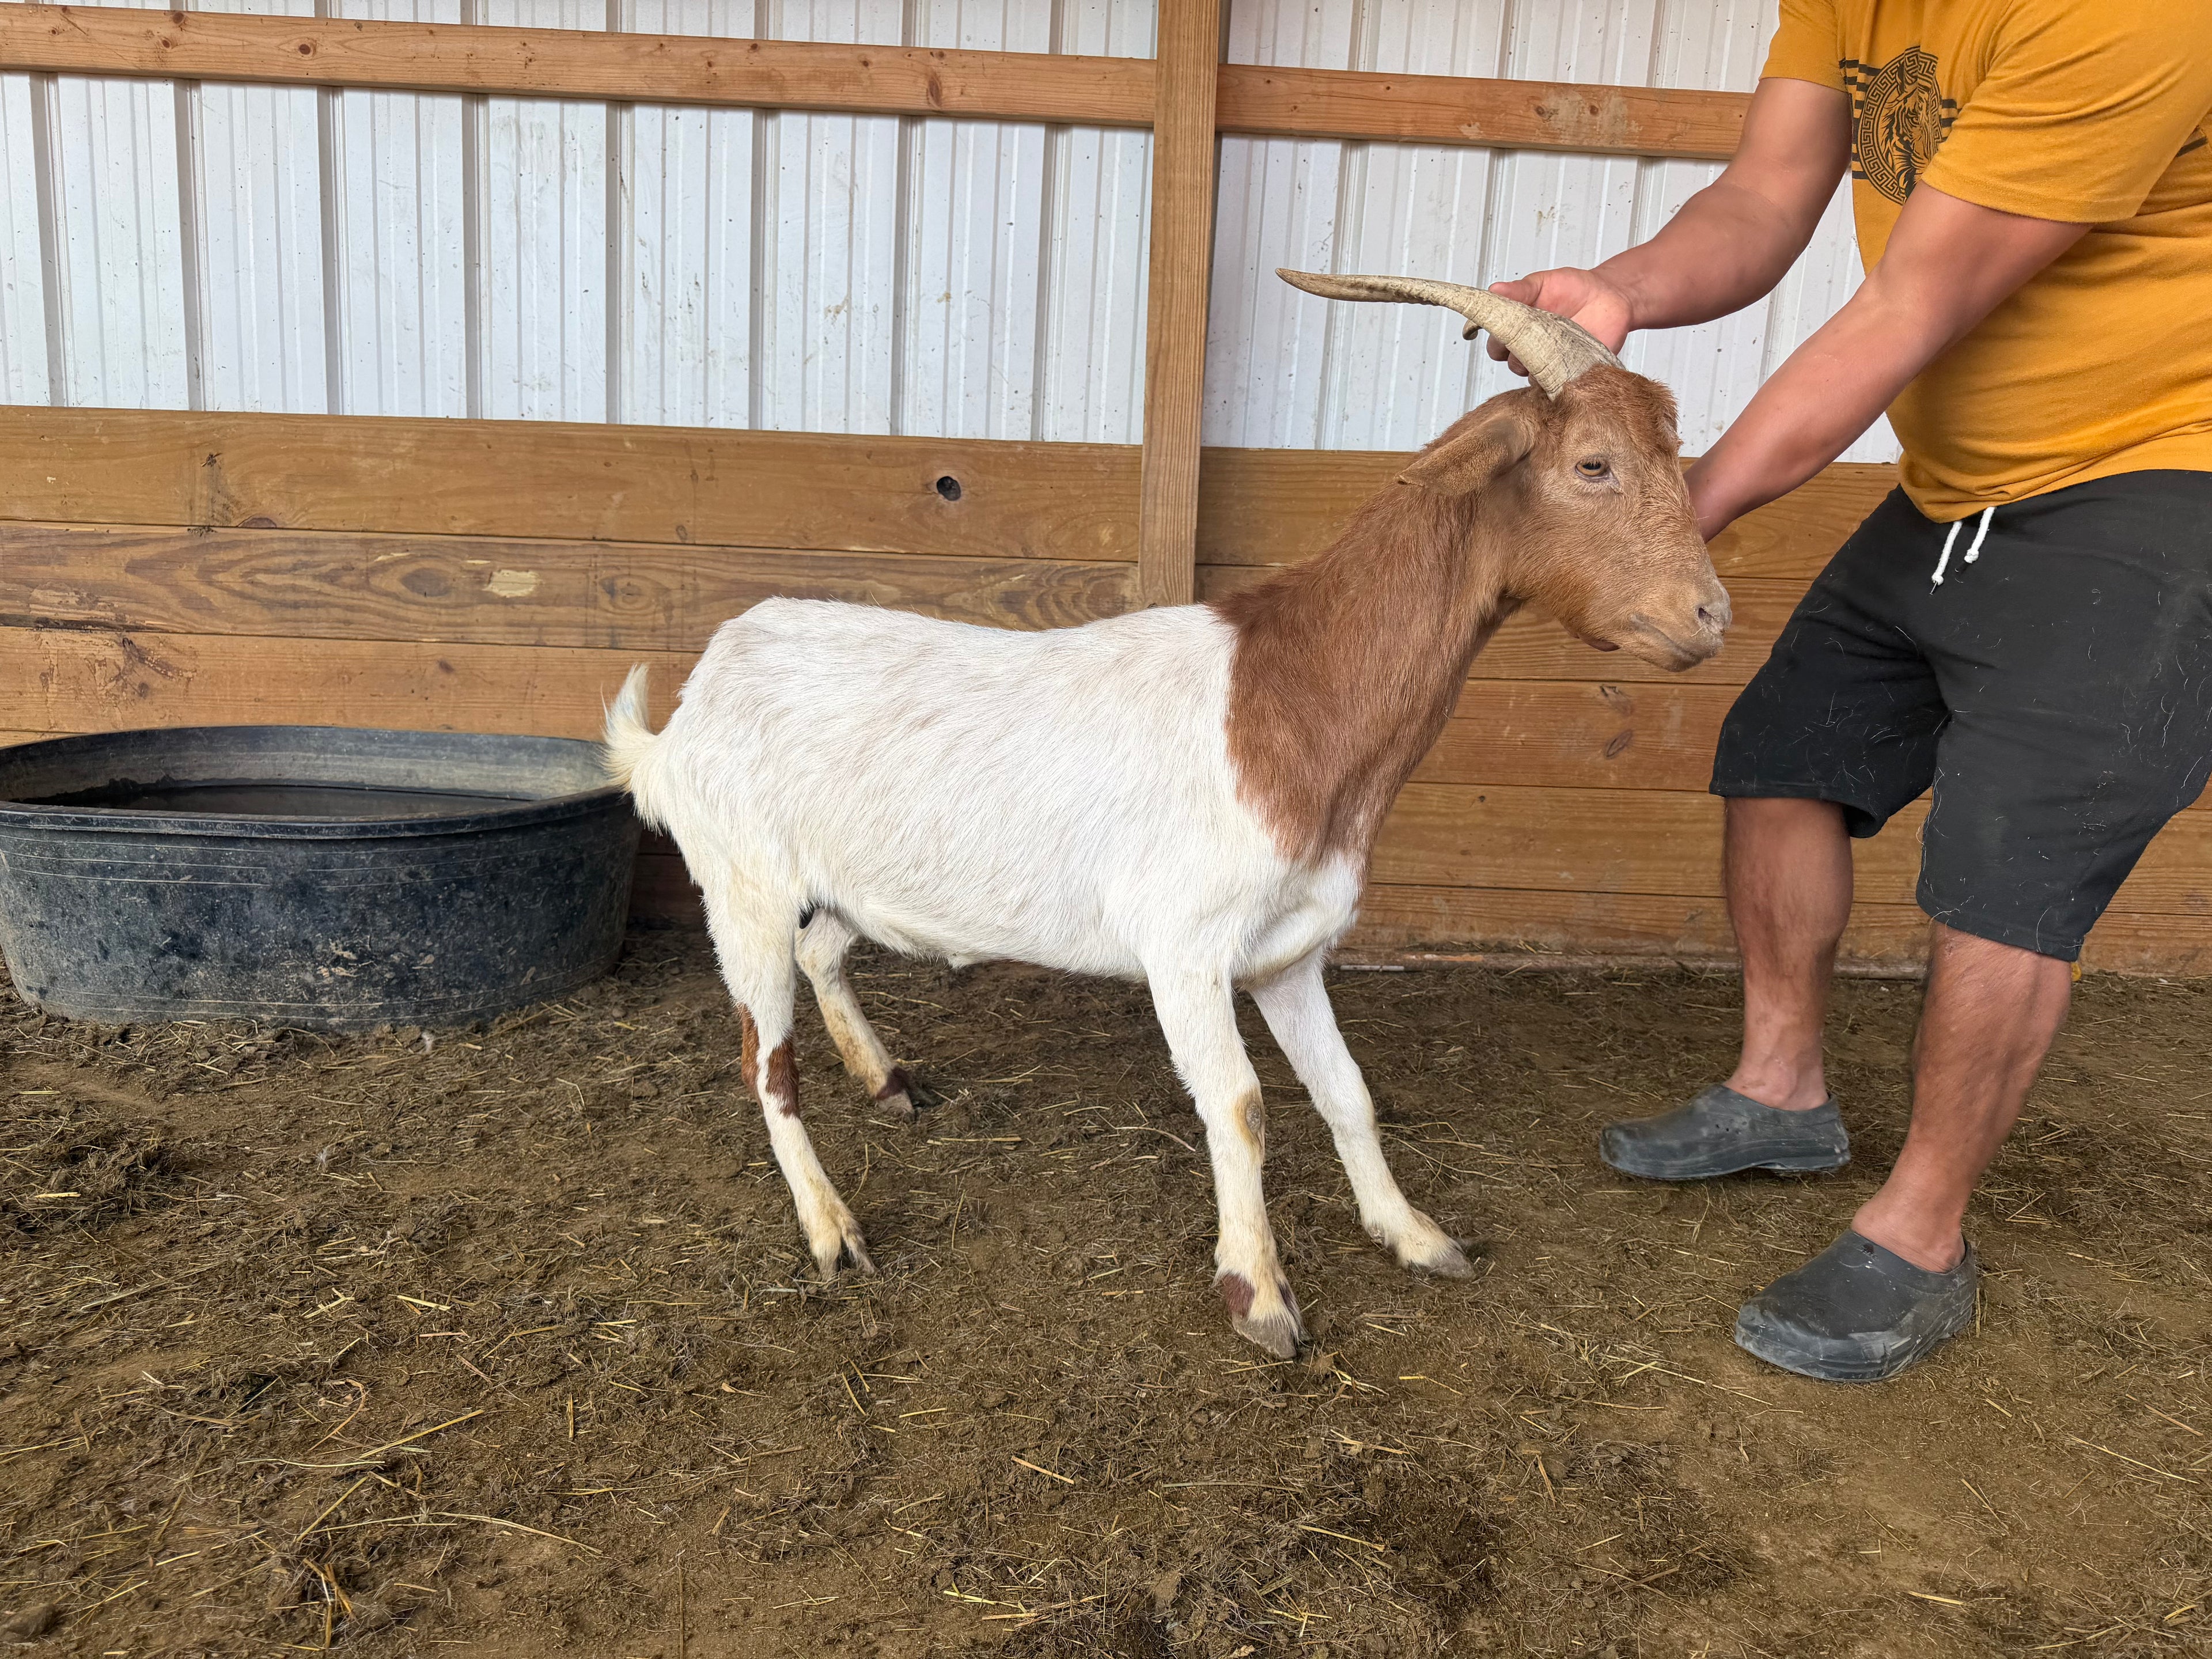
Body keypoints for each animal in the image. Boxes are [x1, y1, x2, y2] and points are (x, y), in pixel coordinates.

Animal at [603, 271, 1730, 1357]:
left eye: (1675, 452)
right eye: (1593, 464)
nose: (1712, 616)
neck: (1290, 693)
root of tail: (694, 702)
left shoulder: (1288, 955)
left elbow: (1348, 1091)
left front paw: (1414, 1236)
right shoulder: (1184, 949)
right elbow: (1241, 1106)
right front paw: (1260, 1295)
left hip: (849, 880)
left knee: (824, 951)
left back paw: (885, 1083)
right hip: (741, 885)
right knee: (765, 1062)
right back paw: (833, 1230)